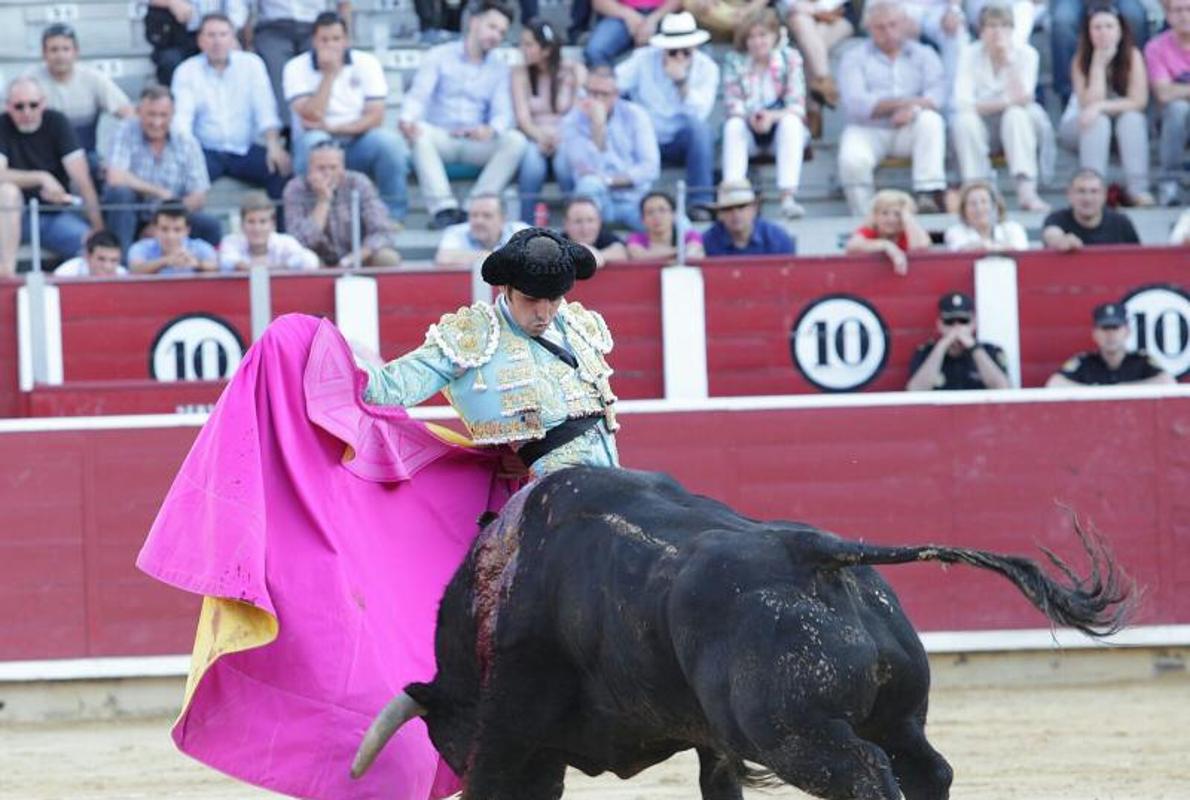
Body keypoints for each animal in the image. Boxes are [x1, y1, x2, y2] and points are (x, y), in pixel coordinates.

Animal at [352, 466, 1132, 795]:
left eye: (445, 738)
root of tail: (815, 550)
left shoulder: (515, 725)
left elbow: (501, 780)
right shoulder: (713, 743)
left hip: (794, 736)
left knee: (868, 775)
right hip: (897, 714)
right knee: (927, 770)